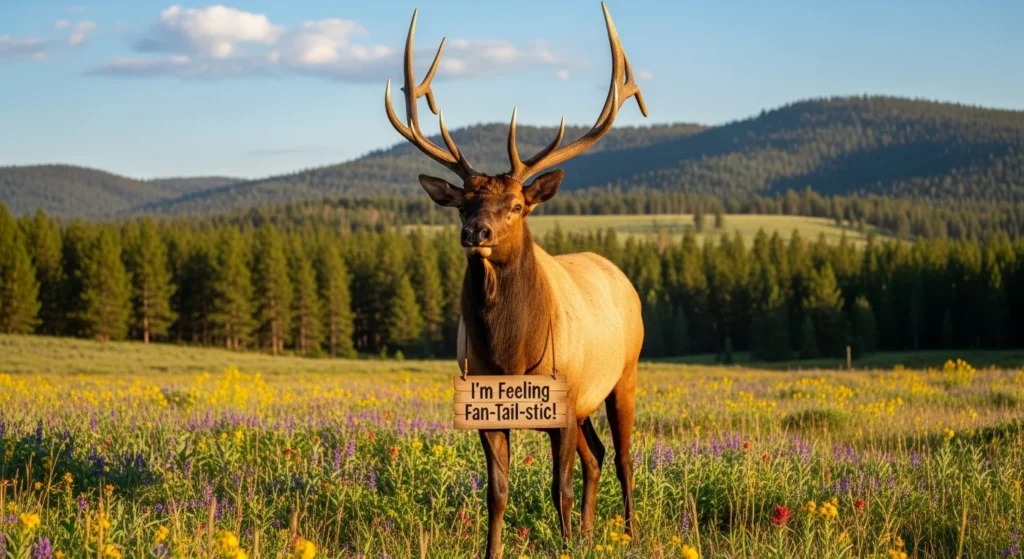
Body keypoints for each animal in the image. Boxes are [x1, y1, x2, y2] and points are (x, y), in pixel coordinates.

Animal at [383, 3, 647, 557]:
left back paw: (630, 534)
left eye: (518, 205)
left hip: (624, 372)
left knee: (622, 458)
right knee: (595, 456)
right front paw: (497, 549)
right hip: (584, 401)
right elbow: (498, 493)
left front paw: (564, 543)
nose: (475, 232)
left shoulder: (560, 398)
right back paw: (589, 534)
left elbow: (558, 486)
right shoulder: (486, 404)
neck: (512, 353)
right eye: (462, 203)